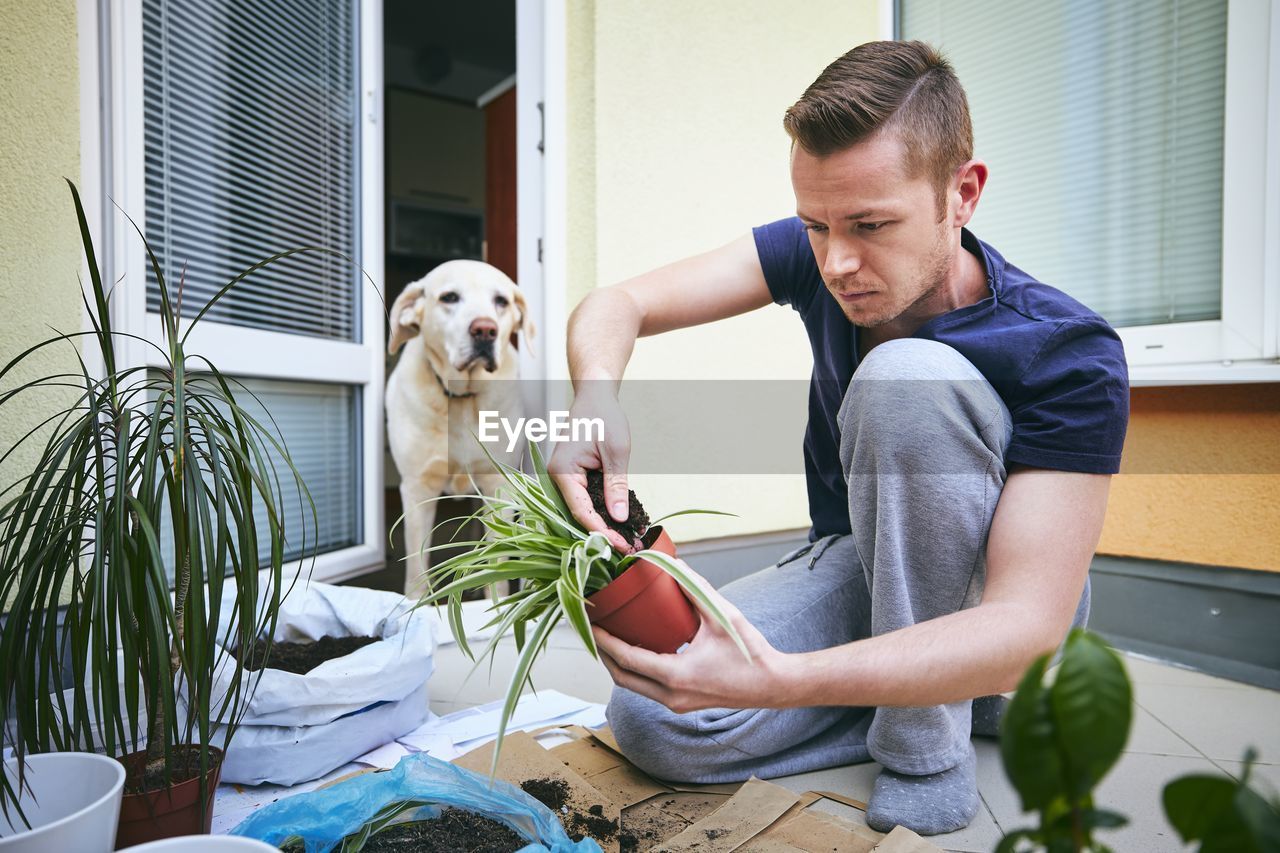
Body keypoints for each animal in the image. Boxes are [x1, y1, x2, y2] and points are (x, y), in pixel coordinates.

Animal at [386, 258, 532, 591]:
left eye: (501, 301)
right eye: (449, 297)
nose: (485, 330)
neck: (462, 397)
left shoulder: (497, 483)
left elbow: (497, 569)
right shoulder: (418, 488)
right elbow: (416, 571)